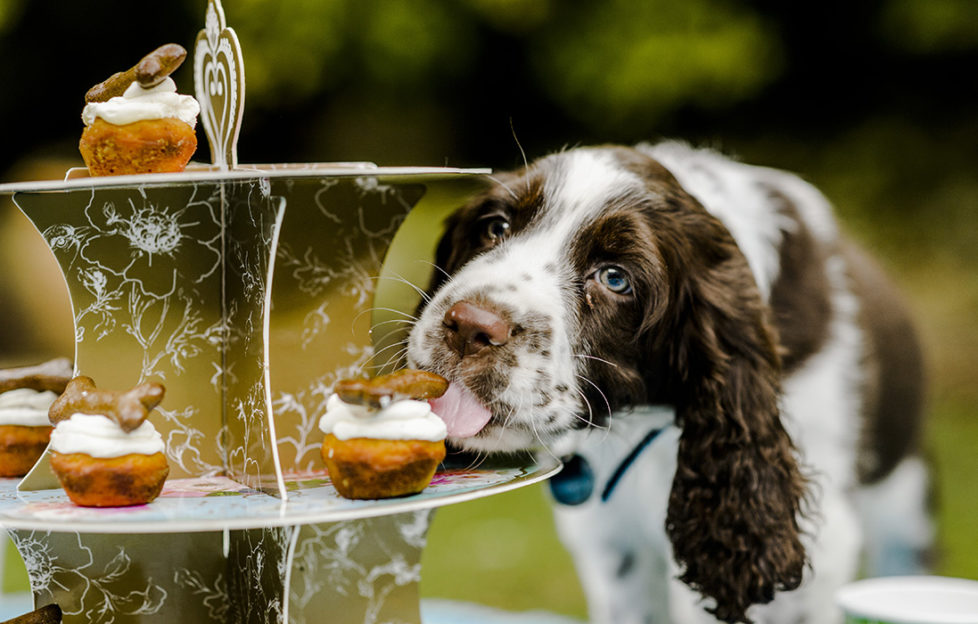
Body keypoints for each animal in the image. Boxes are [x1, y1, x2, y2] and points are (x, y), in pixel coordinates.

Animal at [404, 143, 932, 624]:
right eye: (495, 227)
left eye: (615, 278)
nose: (469, 327)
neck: (647, 420)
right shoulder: (611, 540)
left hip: (906, 510)